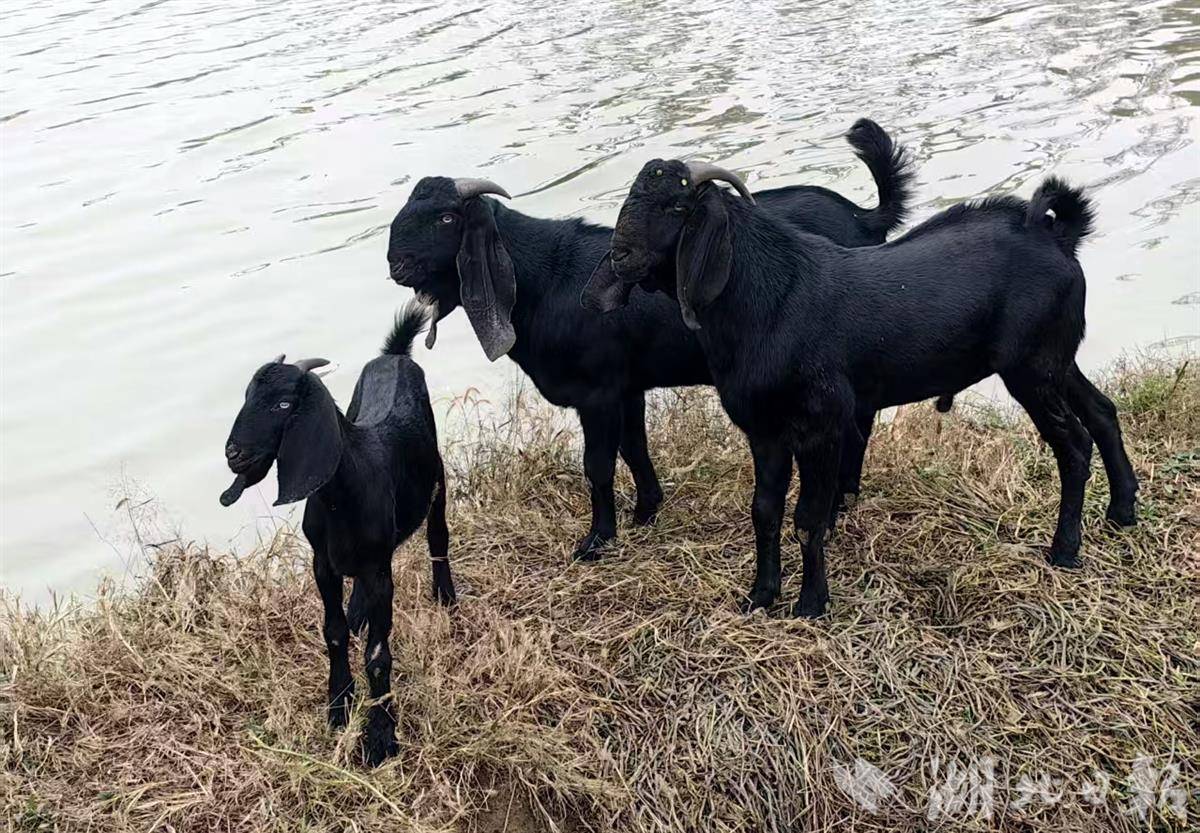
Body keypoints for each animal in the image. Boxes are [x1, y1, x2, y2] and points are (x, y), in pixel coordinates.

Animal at [219, 299, 455, 765]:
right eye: (247, 397)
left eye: (283, 405)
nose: (233, 453)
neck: (343, 491)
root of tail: (395, 356)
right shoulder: (322, 563)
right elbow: (333, 632)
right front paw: (338, 705)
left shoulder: (380, 570)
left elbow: (378, 654)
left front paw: (380, 737)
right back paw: (359, 610)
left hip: (435, 479)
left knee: (438, 535)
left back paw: (446, 595)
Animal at [386, 119, 915, 561]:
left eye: (447, 219)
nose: (396, 264)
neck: (546, 278)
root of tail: (865, 220)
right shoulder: (627, 386)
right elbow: (634, 448)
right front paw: (646, 512)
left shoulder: (597, 393)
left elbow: (598, 465)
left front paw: (597, 541)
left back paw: (841, 503)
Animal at [587, 161, 1138, 618]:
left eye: (677, 207)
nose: (618, 256)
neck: (771, 300)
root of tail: (1057, 235)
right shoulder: (764, 431)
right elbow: (764, 511)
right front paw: (760, 596)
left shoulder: (822, 425)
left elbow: (809, 518)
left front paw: (811, 604)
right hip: (1055, 361)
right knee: (1103, 412)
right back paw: (1122, 511)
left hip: (1031, 369)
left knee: (1074, 445)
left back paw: (1065, 549)